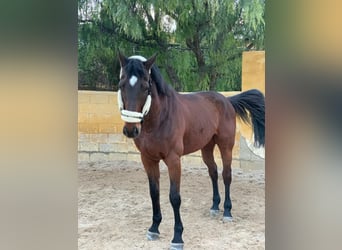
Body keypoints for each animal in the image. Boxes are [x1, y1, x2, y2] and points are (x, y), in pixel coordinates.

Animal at [117, 51, 264, 249]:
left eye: (145, 86)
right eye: (122, 84)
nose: (130, 130)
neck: (160, 118)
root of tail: (226, 100)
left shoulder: (173, 160)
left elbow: (174, 197)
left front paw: (177, 237)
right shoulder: (148, 159)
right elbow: (154, 193)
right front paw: (154, 228)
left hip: (225, 146)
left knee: (226, 175)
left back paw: (227, 211)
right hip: (206, 148)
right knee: (213, 172)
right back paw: (214, 207)